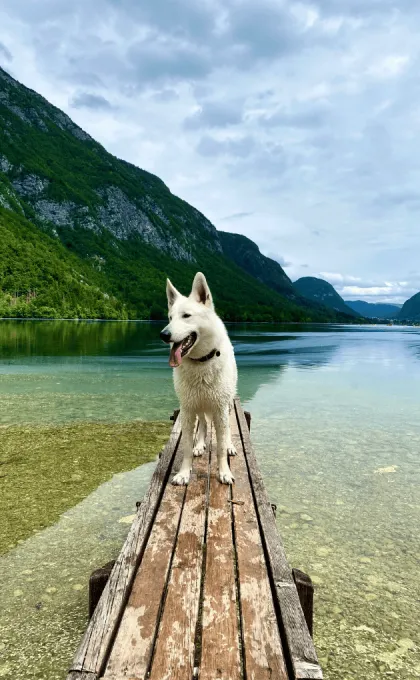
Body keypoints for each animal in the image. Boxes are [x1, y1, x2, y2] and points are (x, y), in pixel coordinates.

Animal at [160, 270, 238, 484]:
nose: (163, 334)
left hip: (228, 404)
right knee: (202, 424)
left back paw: (230, 445)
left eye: (186, 316)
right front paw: (184, 473)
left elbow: (220, 447)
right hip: (199, 405)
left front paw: (224, 472)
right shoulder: (187, 411)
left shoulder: (220, 409)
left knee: (227, 432)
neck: (201, 362)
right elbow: (186, 446)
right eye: (170, 317)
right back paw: (200, 445)